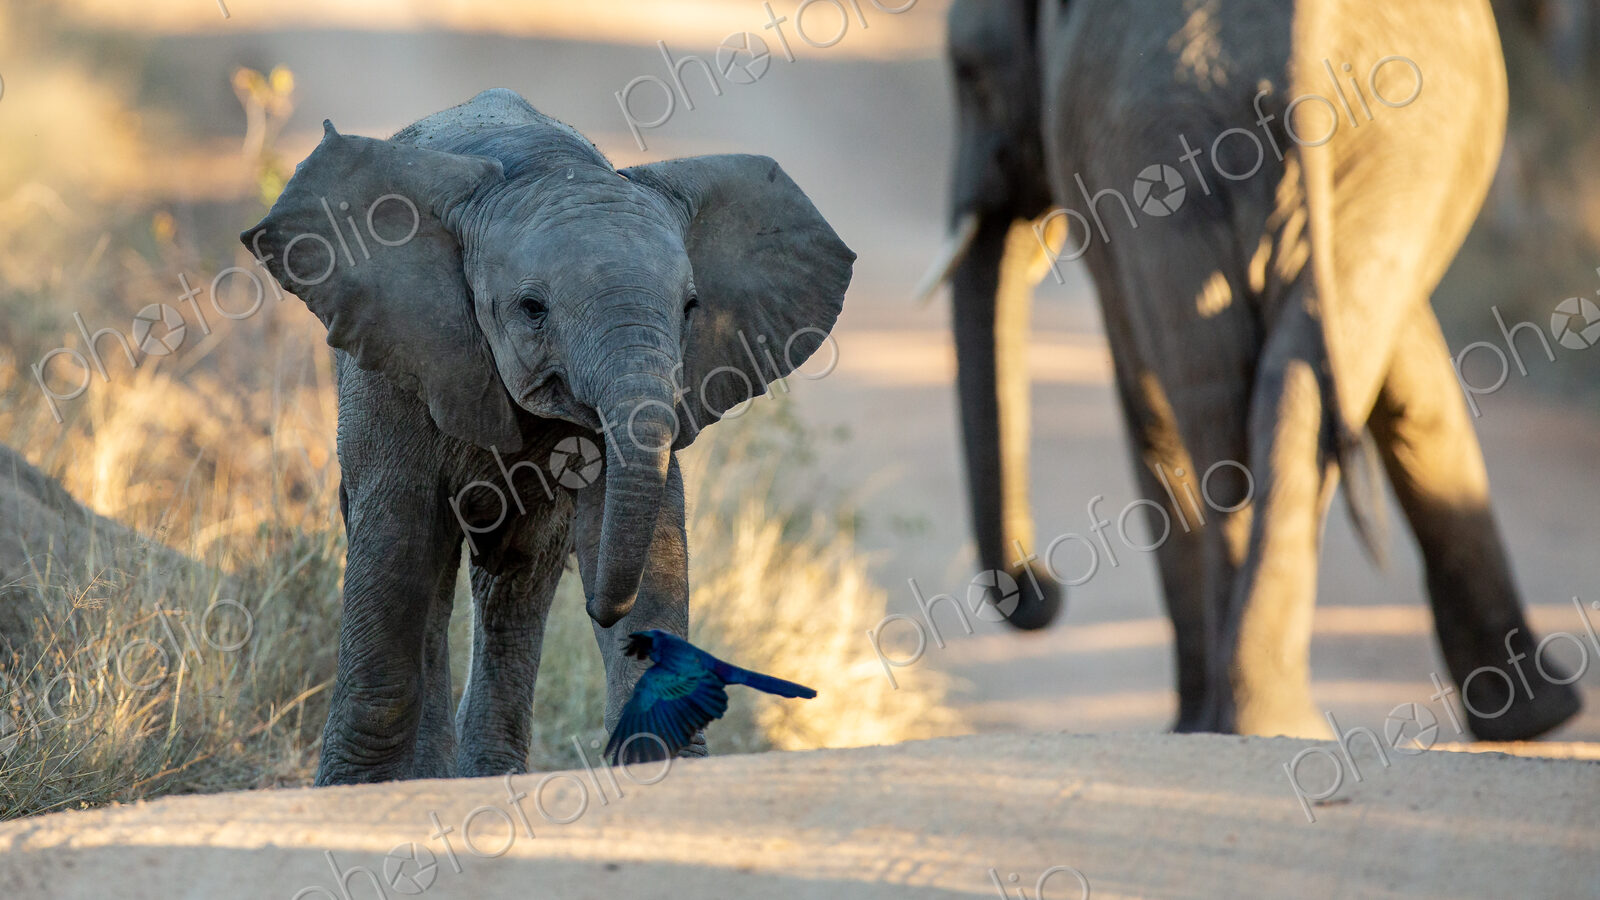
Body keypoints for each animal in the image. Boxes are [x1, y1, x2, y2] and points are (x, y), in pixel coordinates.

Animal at [241, 89, 854, 784]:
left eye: (692, 307)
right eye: (533, 309)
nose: (603, 613)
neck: (547, 165)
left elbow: (643, 530)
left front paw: (666, 758)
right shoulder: (394, 360)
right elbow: (396, 539)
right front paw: (354, 789)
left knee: (515, 582)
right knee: (432, 569)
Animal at [921, 0, 1582, 738]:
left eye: (968, 73)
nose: (1041, 586)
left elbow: (1145, 393)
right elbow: (1400, 369)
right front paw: (1537, 720)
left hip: (1194, 143)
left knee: (1212, 399)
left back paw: (1239, 719)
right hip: (1360, 141)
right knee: (1261, 389)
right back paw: (1268, 719)